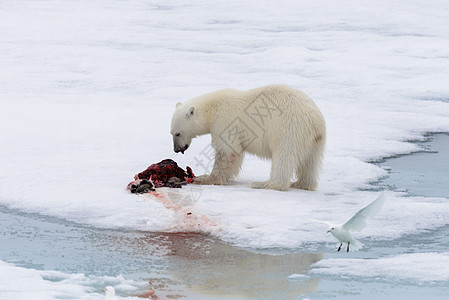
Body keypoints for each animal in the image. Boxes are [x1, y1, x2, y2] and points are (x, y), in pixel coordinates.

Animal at [170, 84, 324, 191]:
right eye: (171, 133)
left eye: (178, 133)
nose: (176, 149)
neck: (212, 107)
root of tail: (315, 121)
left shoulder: (224, 120)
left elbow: (227, 151)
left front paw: (206, 178)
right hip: (314, 141)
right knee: (310, 162)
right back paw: (300, 183)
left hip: (288, 129)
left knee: (284, 155)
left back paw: (264, 184)